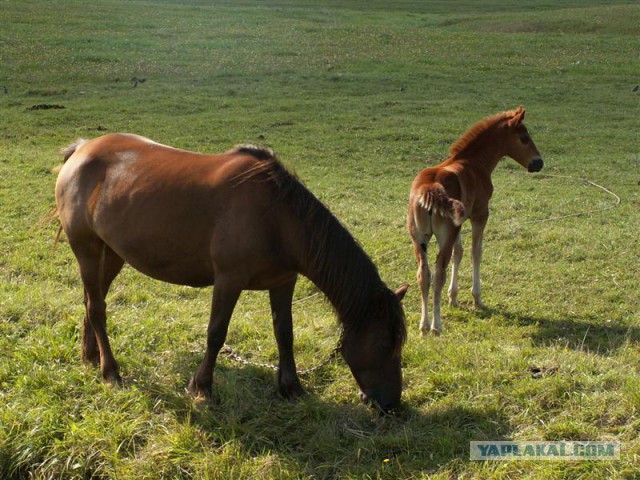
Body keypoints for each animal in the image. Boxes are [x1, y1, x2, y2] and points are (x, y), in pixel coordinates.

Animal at [52, 134, 408, 408]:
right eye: (383, 345)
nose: (391, 404)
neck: (276, 217)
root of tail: (82, 149)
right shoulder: (228, 281)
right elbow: (216, 333)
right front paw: (202, 387)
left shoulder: (284, 282)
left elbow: (285, 333)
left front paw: (291, 386)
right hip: (86, 249)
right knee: (97, 308)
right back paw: (110, 372)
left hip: (112, 253)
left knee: (91, 301)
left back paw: (90, 355)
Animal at [408, 107, 544, 336]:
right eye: (524, 138)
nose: (538, 163)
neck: (474, 161)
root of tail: (430, 190)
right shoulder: (480, 215)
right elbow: (476, 252)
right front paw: (477, 298)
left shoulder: (459, 223)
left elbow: (459, 253)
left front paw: (453, 297)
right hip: (443, 236)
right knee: (437, 274)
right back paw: (436, 325)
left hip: (419, 238)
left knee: (423, 275)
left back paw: (424, 325)